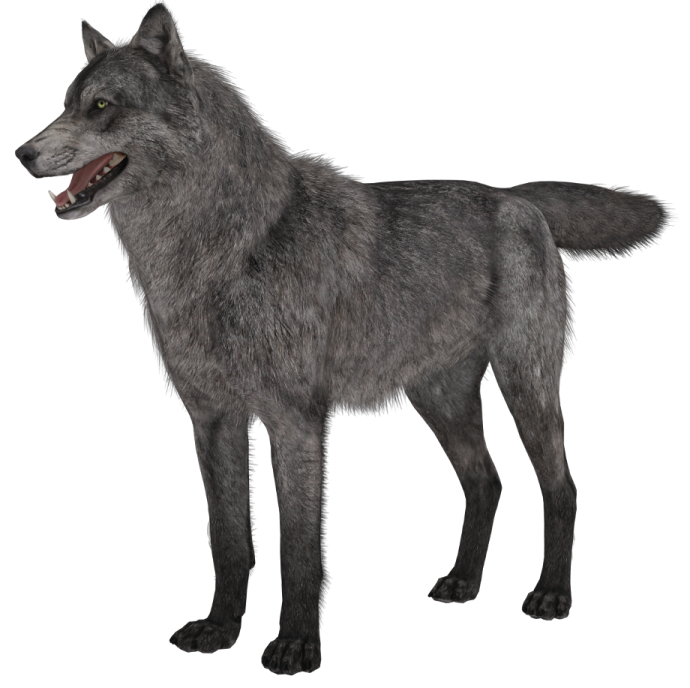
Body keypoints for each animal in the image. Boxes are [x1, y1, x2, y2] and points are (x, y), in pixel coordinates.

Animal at [15, 3, 676, 675]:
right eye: (66, 103)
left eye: (102, 105)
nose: (22, 152)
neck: (224, 252)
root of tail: (516, 199)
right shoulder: (212, 420)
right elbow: (229, 541)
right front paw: (220, 629)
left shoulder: (294, 422)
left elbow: (297, 549)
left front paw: (295, 646)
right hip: (441, 402)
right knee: (486, 480)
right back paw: (463, 583)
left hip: (526, 388)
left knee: (561, 486)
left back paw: (551, 595)